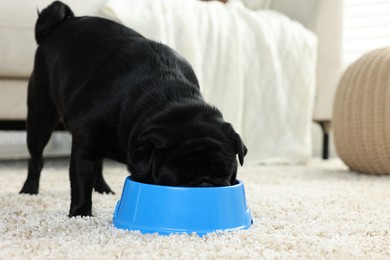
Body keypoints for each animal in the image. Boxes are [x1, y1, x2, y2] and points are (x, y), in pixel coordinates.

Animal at [20, 1, 247, 217]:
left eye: (226, 171)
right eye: (177, 177)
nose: (205, 182)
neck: (168, 99)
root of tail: (62, 23)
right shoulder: (83, 148)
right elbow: (81, 183)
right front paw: (80, 213)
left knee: (99, 165)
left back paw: (103, 189)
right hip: (40, 119)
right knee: (37, 158)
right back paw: (29, 190)